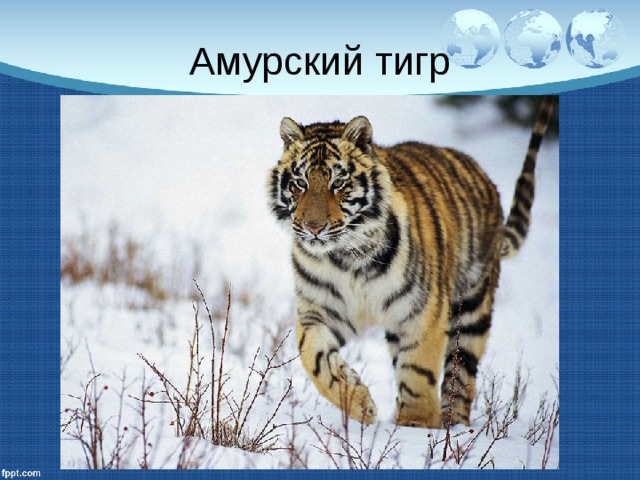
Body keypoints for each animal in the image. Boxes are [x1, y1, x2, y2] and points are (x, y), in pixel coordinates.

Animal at [267, 97, 555, 428]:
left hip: (471, 309)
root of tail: (485, 179)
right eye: (299, 183)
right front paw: (359, 403)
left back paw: (454, 428)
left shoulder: (423, 311)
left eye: (338, 183)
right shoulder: (320, 310)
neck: (347, 258)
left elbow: (418, 370)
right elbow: (313, 356)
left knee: (462, 377)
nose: (313, 227)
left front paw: (414, 426)